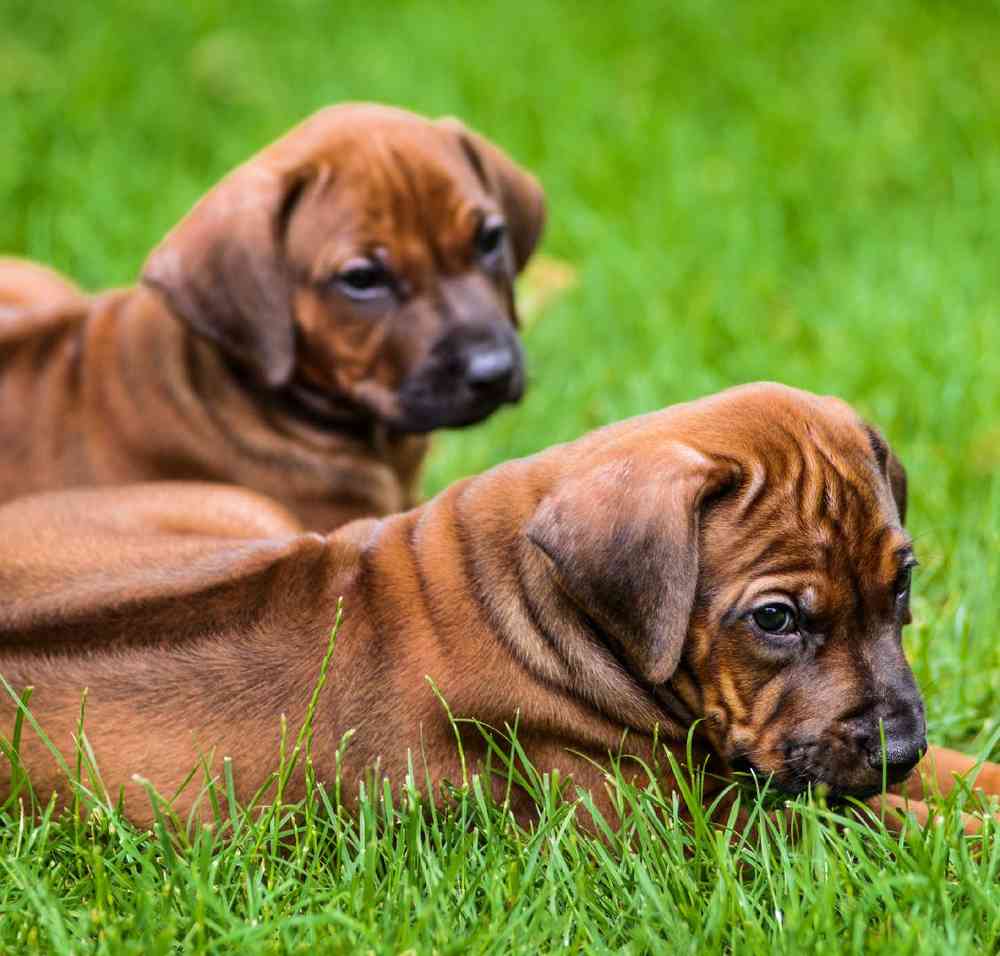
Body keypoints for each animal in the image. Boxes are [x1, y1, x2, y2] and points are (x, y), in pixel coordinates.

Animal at [1, 380, 1000, 828]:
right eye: (777, 619)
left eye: (902, 585)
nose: (898, 747)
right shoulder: (696, 827)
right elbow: (882, 825)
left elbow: (953, 776)